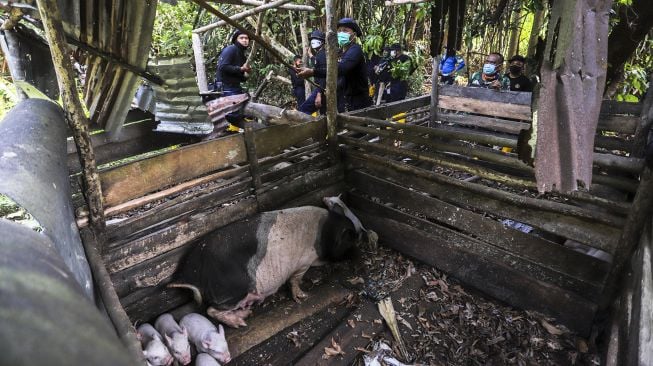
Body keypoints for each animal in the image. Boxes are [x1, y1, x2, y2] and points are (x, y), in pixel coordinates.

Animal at [168, 197, 374, 328]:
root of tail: (191, 272)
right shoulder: (303, 262)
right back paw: (242, 320)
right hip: (232, 292)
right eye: (350, 239)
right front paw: (303, 296)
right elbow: (295, 279)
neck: (326, 232)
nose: (359, 249)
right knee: (210, 310)